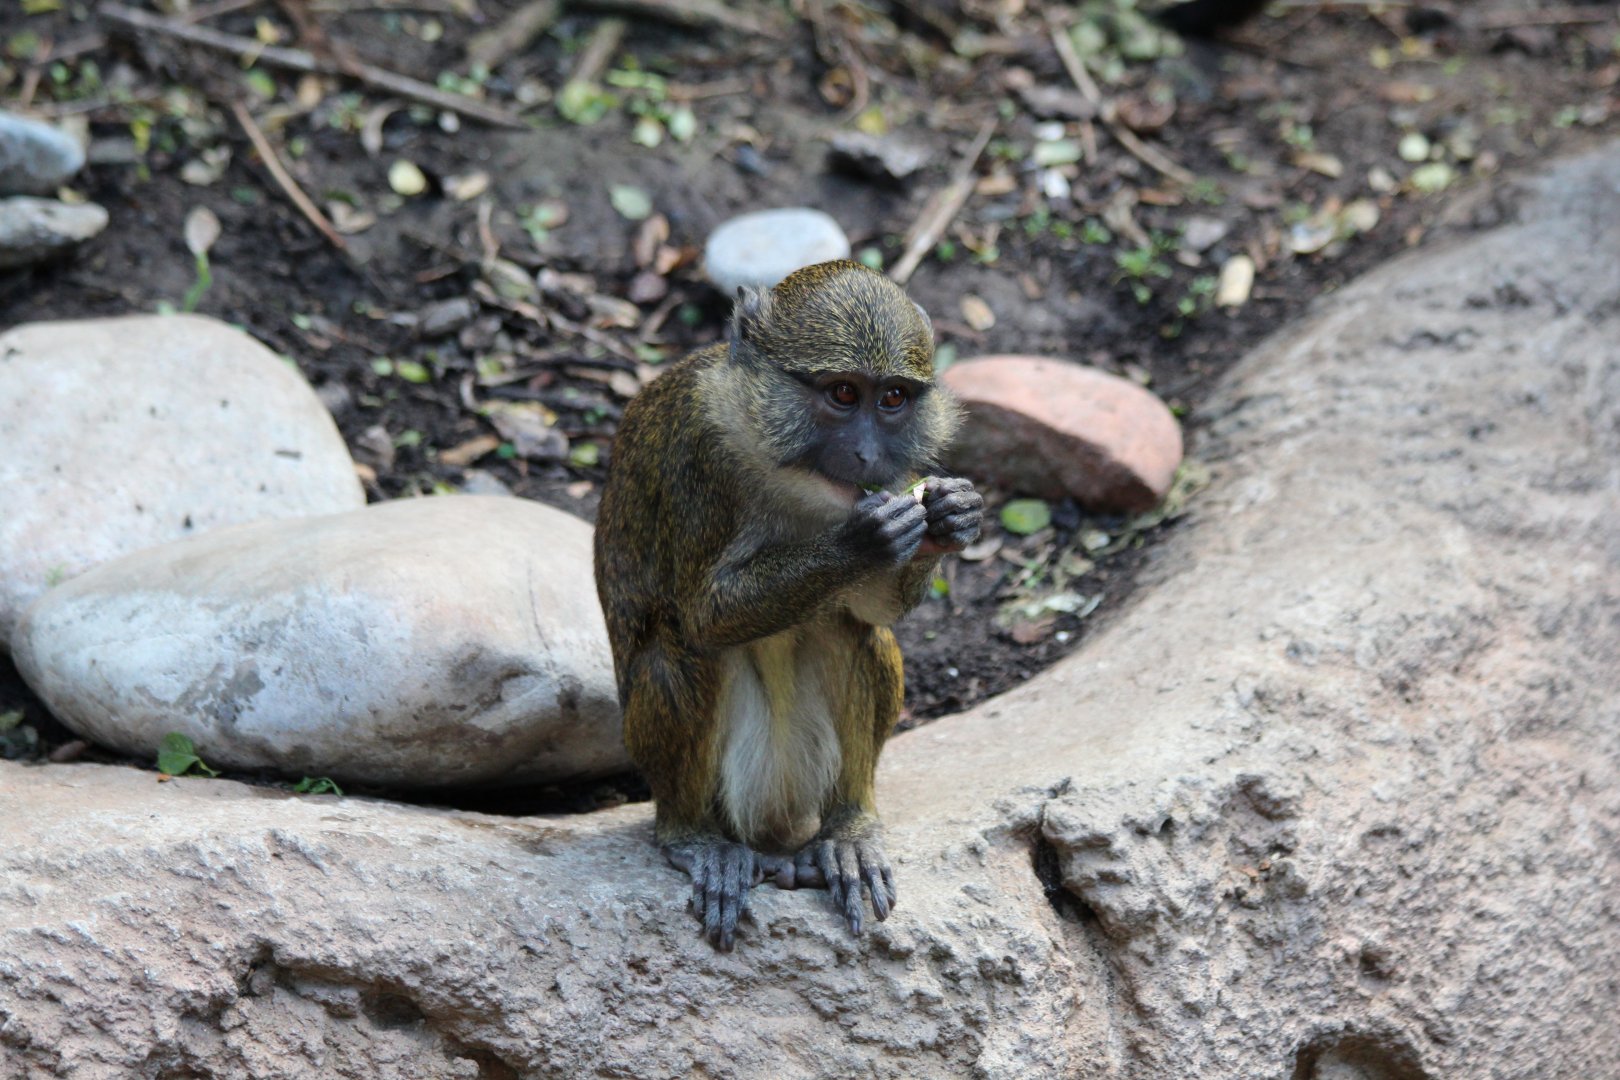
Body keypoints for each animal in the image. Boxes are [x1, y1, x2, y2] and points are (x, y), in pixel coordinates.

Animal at [593, 260, 983, 951]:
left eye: (891, 399)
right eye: (842, 394)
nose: (867, 455)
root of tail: (773, 827)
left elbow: (872, 611)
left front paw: (947, 516)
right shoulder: (697, 451)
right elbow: (705, 615)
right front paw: (862, 540)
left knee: (850, 633)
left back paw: (849, 829)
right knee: (682, 653)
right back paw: (693, 838)